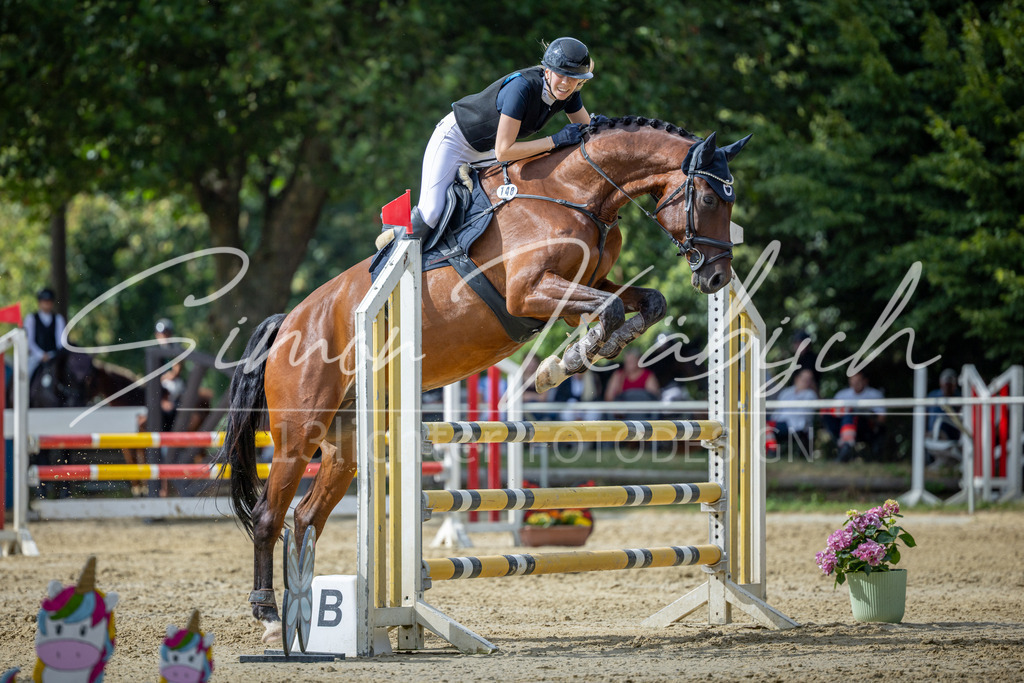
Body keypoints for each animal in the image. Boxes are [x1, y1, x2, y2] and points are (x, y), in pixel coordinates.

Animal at [215, 116, 752, 643]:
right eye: (709, 199)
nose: (717, 278)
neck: (575, 192)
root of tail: (289, 323)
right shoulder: (530, 292)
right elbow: (611, 307)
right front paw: (569, 361)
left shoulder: (586, 284)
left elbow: (642, 302)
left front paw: (574, 357)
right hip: (298, 431)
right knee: (270, 515)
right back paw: (269, 617)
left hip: (345, 443)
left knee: (306, 518)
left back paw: (306, 615)